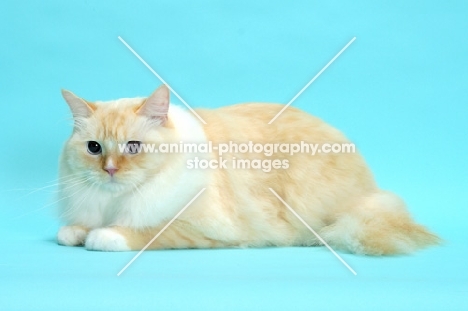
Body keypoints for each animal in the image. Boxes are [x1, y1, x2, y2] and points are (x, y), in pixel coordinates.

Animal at [56, 84, 440, 255]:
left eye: (133, 147)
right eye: (94, 148)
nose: (110, 170)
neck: (115, 202)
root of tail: (369, 190)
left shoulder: (200, 228)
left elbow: (149, 231)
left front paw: (102, 236)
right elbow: (71, 230)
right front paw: (76, 232)